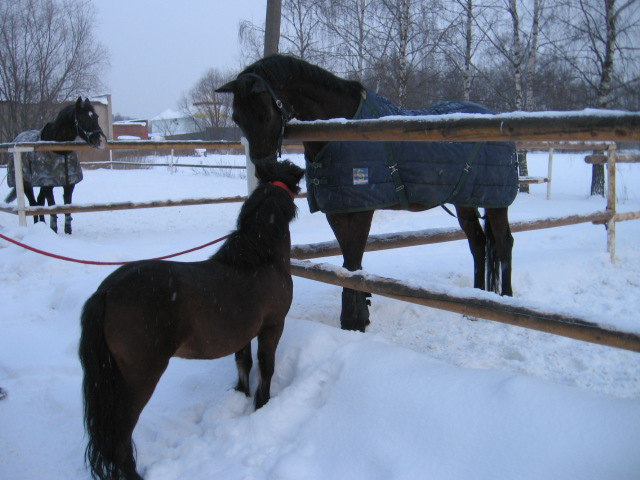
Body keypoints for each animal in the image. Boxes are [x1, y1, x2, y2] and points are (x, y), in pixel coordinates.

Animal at [5, 96, 105, 233]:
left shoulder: (68, 185)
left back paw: (42, 224)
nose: (99, 140)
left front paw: (68, 232)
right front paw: (54, 230)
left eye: (96, 116)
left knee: (39, 202)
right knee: (33, 204)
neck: (59, 150)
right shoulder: (48, 184)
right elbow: (53, 208)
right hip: (27, 184)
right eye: (83, 118)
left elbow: (67, 209)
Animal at [79, 159, 304, 478]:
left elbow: (243, 364)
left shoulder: (243, 334)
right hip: (139, 380)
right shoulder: (272, 326)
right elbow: (266, 367)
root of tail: (106, 292)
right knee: (120, 439)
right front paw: (262, 405)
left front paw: (241, 397)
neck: (260, 259)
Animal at [218, 54, 516, 332]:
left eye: (266, 114)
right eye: (236, 118)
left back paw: (506, 302)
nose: (265, 170)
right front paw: (361, 312)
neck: (341, 129)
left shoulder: (361, 209)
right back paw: (476, 306)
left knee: (503, 243)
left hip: (496, 202)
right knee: (478, 243)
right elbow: (349, 263)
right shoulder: (337, 209)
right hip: (465, 201)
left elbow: (352, 262)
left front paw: (354, 321)